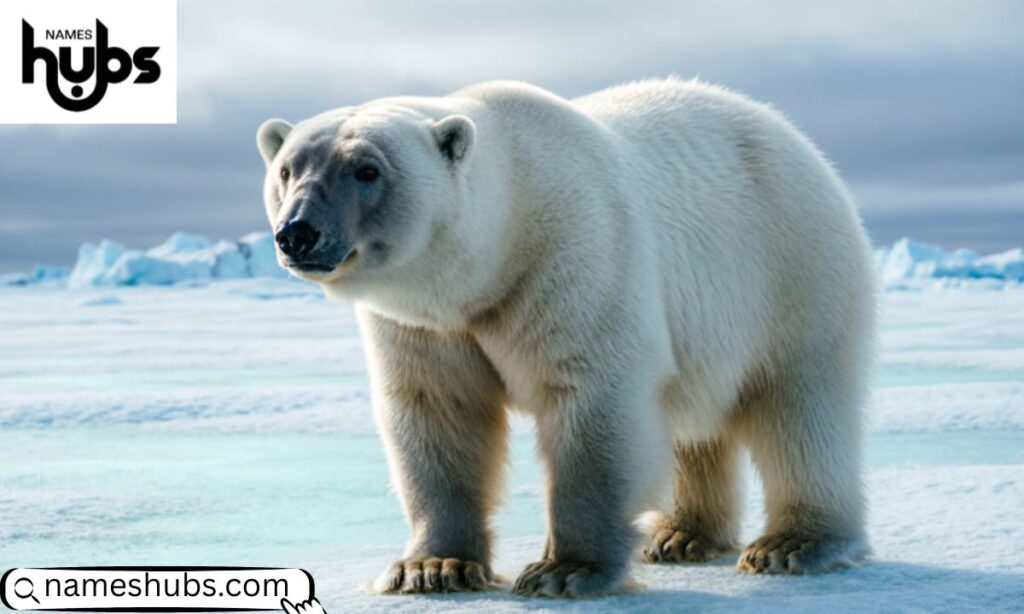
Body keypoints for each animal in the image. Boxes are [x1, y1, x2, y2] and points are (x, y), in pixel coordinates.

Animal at [255, 77, 876, 597]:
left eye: (366, 170)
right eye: (288, 169)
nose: (297, 233)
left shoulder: (573, 257)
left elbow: (592, 403)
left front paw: (564, 571)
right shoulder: (427, 324)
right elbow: (438, 412)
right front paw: (431, 567)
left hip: (791, 269)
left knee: (801, 407)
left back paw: (794, 544)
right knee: (696, 426)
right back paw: (680, 534)